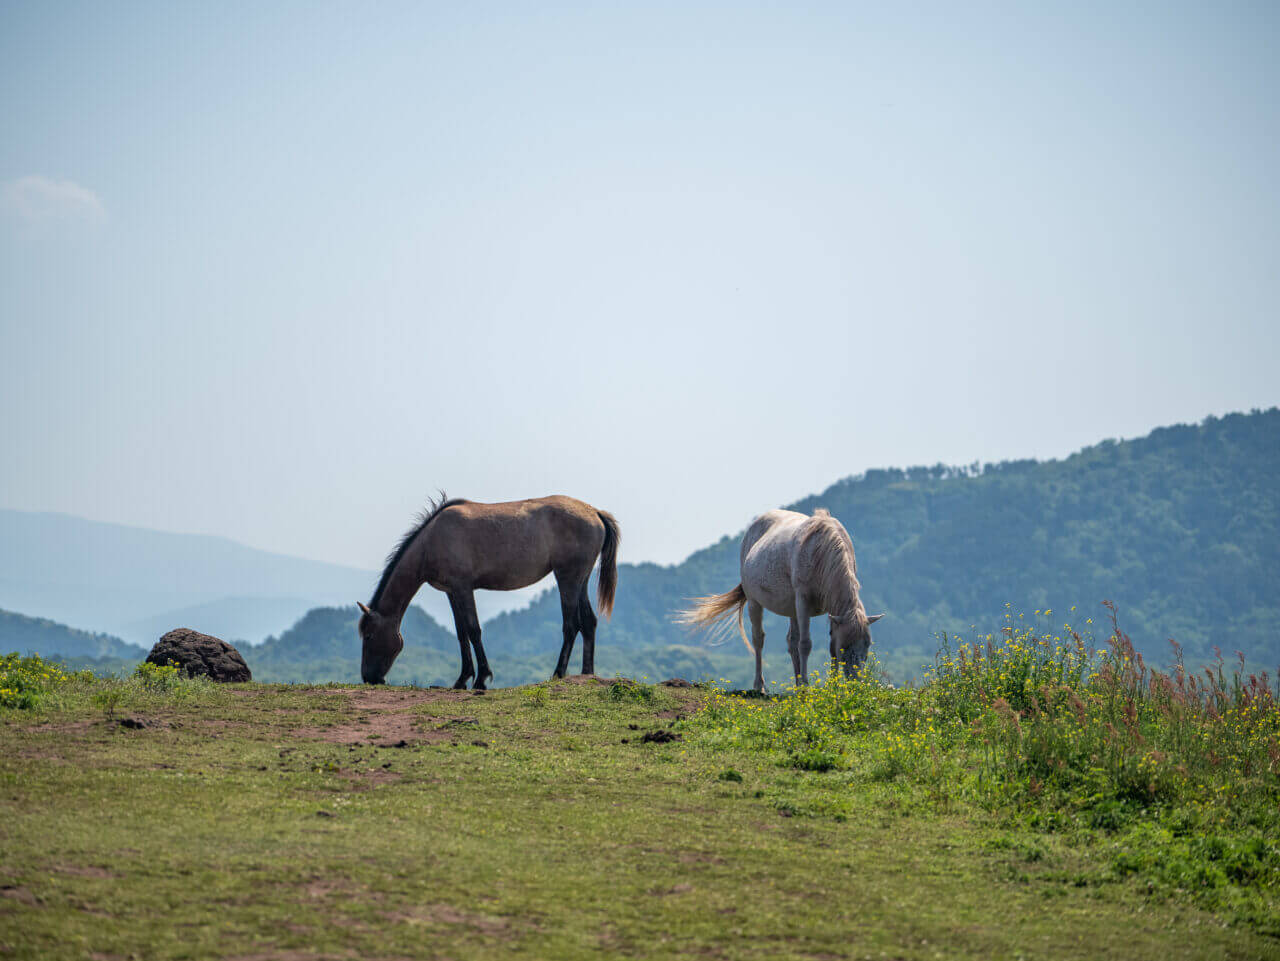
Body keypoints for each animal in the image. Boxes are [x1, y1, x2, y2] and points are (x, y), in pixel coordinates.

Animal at [360, 491, 619, 685]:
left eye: (369, 635)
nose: (368, 677)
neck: (432, 540)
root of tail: (595, 512)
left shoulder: (463, 588)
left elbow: (473, 630)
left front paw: (481, 678)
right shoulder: (451, 591)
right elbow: (461, 632)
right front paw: (462, 679)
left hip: (567, 578)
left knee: (571, 625)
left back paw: (558, 673)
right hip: (580, 580)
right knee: (588, 622)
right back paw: (587, 673)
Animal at [680, 511, 880, 690]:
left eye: (867, 645)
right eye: (845, 647)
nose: (856, 683)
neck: (820, 552)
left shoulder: (832, 610)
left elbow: (829, 648)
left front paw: (833, 687)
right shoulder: (803, 601)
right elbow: (805, 644)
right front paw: (807, 685)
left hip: (792, 609)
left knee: (791, 642)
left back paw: (797, 685)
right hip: (755, 602)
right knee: (758, 639)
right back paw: (759, 686)